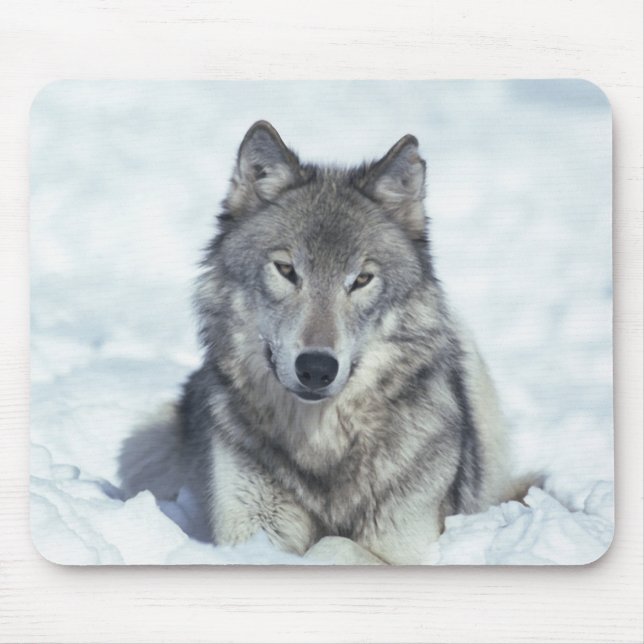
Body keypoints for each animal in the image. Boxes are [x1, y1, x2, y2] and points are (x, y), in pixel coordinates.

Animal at [120, 121, 510, 564]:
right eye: (287, 270)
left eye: (361, 279)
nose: (316, 369)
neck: (323, 443)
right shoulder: (251, 534)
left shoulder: (407, 550)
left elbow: (332, 545)